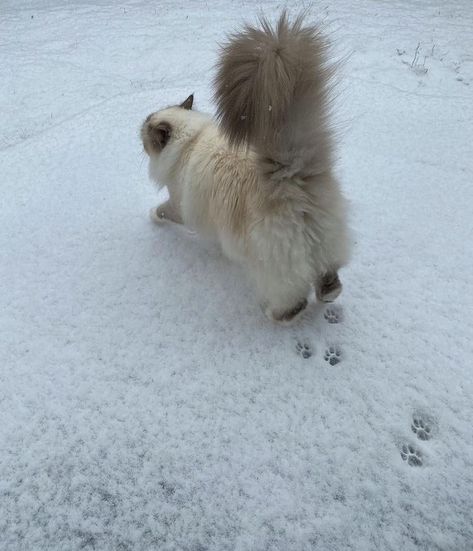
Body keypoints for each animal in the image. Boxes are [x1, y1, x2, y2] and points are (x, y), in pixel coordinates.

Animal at [138, 11, 348, 324]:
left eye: (145, 132)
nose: (137, 130)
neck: (190, 142)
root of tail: (291, 174)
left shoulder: (180, 204)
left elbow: (162, 210)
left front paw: (153, 216)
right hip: (323, 246)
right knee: (330, 283)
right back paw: (326, 296)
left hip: (271, 265)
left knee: (294, 302)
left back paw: (272, 314)